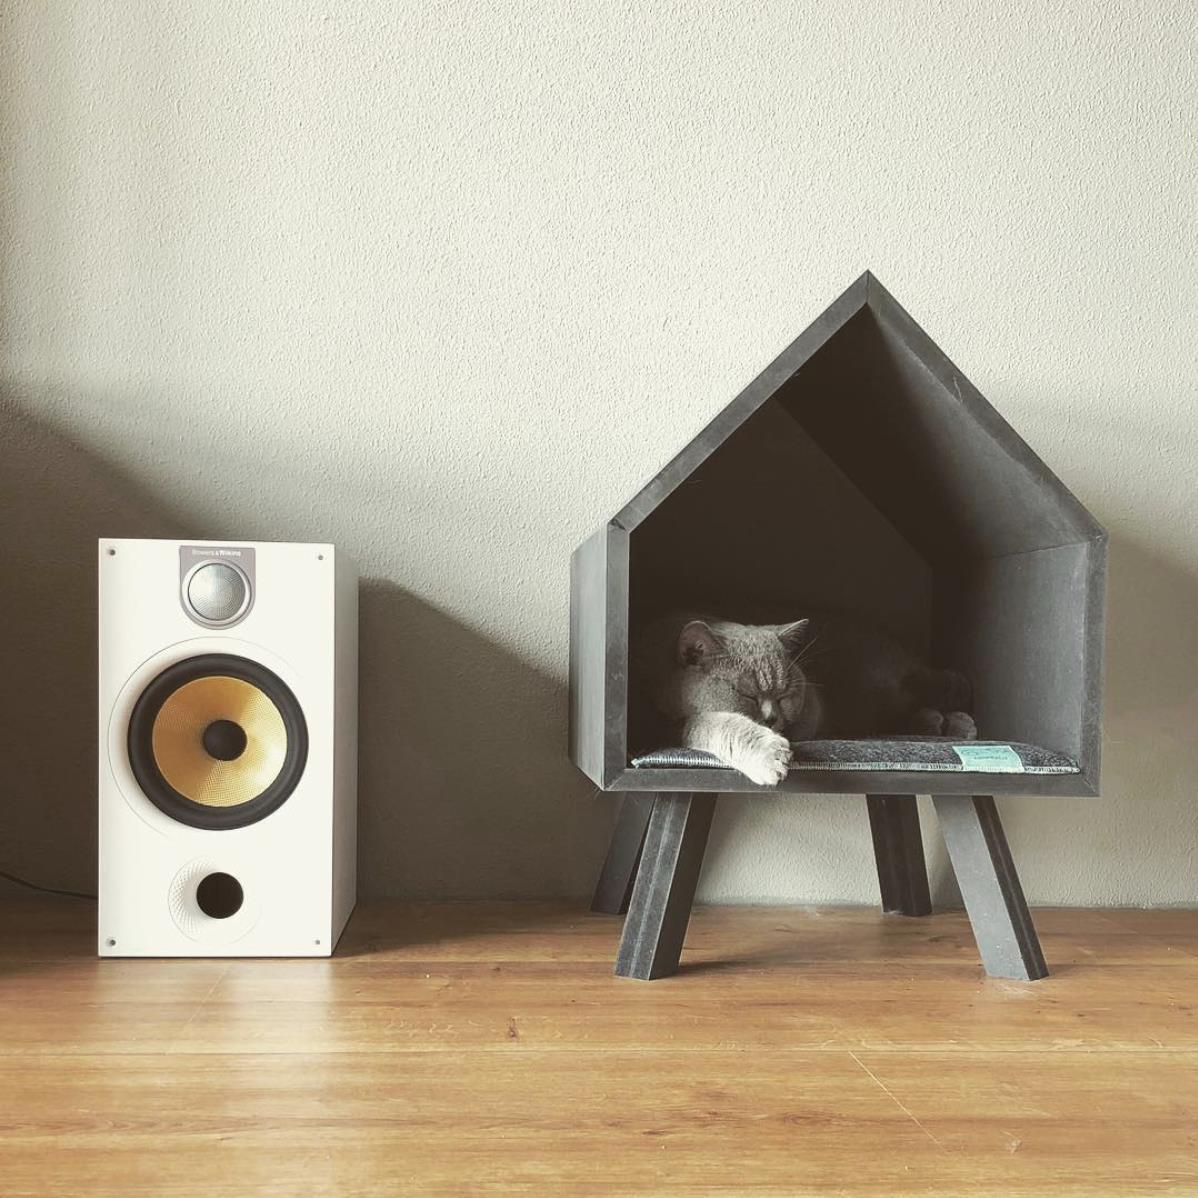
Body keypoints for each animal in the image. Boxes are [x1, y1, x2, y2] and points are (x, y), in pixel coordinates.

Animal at [630, 611, 977, 785]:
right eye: (746, 694)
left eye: (785, 693)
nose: (771, 718)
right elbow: (711, 723)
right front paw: (770, 754)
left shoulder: (813, 706)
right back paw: (939, 722)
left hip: (889, 687)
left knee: (929, 686)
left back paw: (958, 716)